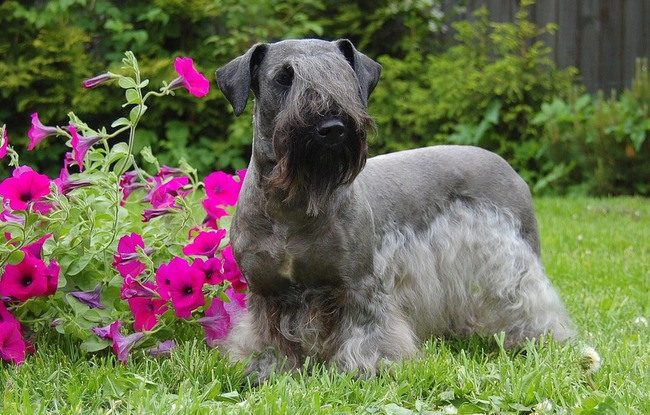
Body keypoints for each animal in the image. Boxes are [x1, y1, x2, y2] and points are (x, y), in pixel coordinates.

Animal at [215, 38, 574, 382]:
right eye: (284, 78)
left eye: (344, 78)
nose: (333, 127)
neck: (293, 205)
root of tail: (509, 168)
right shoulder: (266, 291)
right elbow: (268, 338)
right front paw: (266, 370)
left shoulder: (358, 285)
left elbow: (366, 334)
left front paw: (366, 369)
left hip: (511, 264)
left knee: (531, 303)